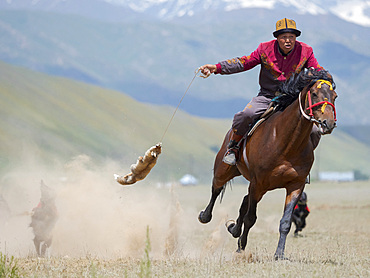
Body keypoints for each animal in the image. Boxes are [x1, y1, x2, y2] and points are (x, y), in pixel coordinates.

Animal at [199, 68, 338, 260]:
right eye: (315, 94)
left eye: (335, 96)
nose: (328, 123)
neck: (286, 143)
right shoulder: (258, 183)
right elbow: (250, 218)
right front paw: (242, 246)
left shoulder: (295, 185)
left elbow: (285, 222)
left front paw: (279, 254)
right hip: (225, 170)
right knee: (216, 189)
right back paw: (205, 216)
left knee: (244, 201)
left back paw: (234, 230)